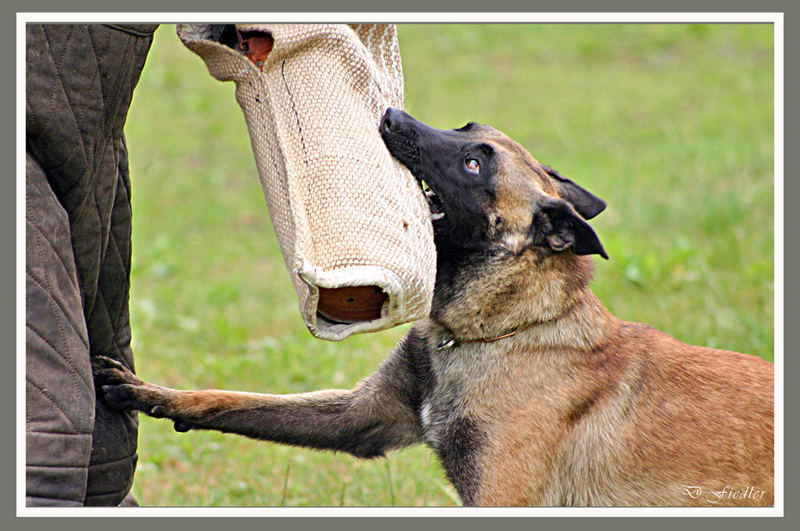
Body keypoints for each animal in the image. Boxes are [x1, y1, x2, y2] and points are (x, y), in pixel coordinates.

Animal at [94, 107, 776, 508]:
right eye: (471, 131)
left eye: (472, 164)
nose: (390, 113)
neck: (497, 329)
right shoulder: (363, 418)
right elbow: (231, 401)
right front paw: (151, 393)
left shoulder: (501, 496)